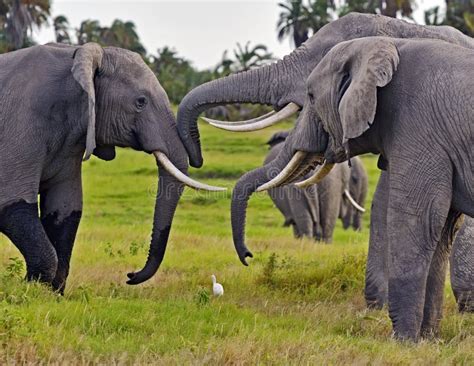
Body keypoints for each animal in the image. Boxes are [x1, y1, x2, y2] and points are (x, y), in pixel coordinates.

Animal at [0, 43, 221, 294]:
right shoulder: (21, 124)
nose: (130, 275)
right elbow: (11, 204)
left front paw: (50, 294)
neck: (76, 56)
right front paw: (29, 290)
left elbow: (65, 212)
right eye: (140, 102)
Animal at [228, 37, 472, 340]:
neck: (388, 45)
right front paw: (427, 340)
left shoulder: (419, 130)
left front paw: (403, 341)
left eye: (310, 96)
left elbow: (418, 221)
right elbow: (442, 229)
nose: (248, 256)